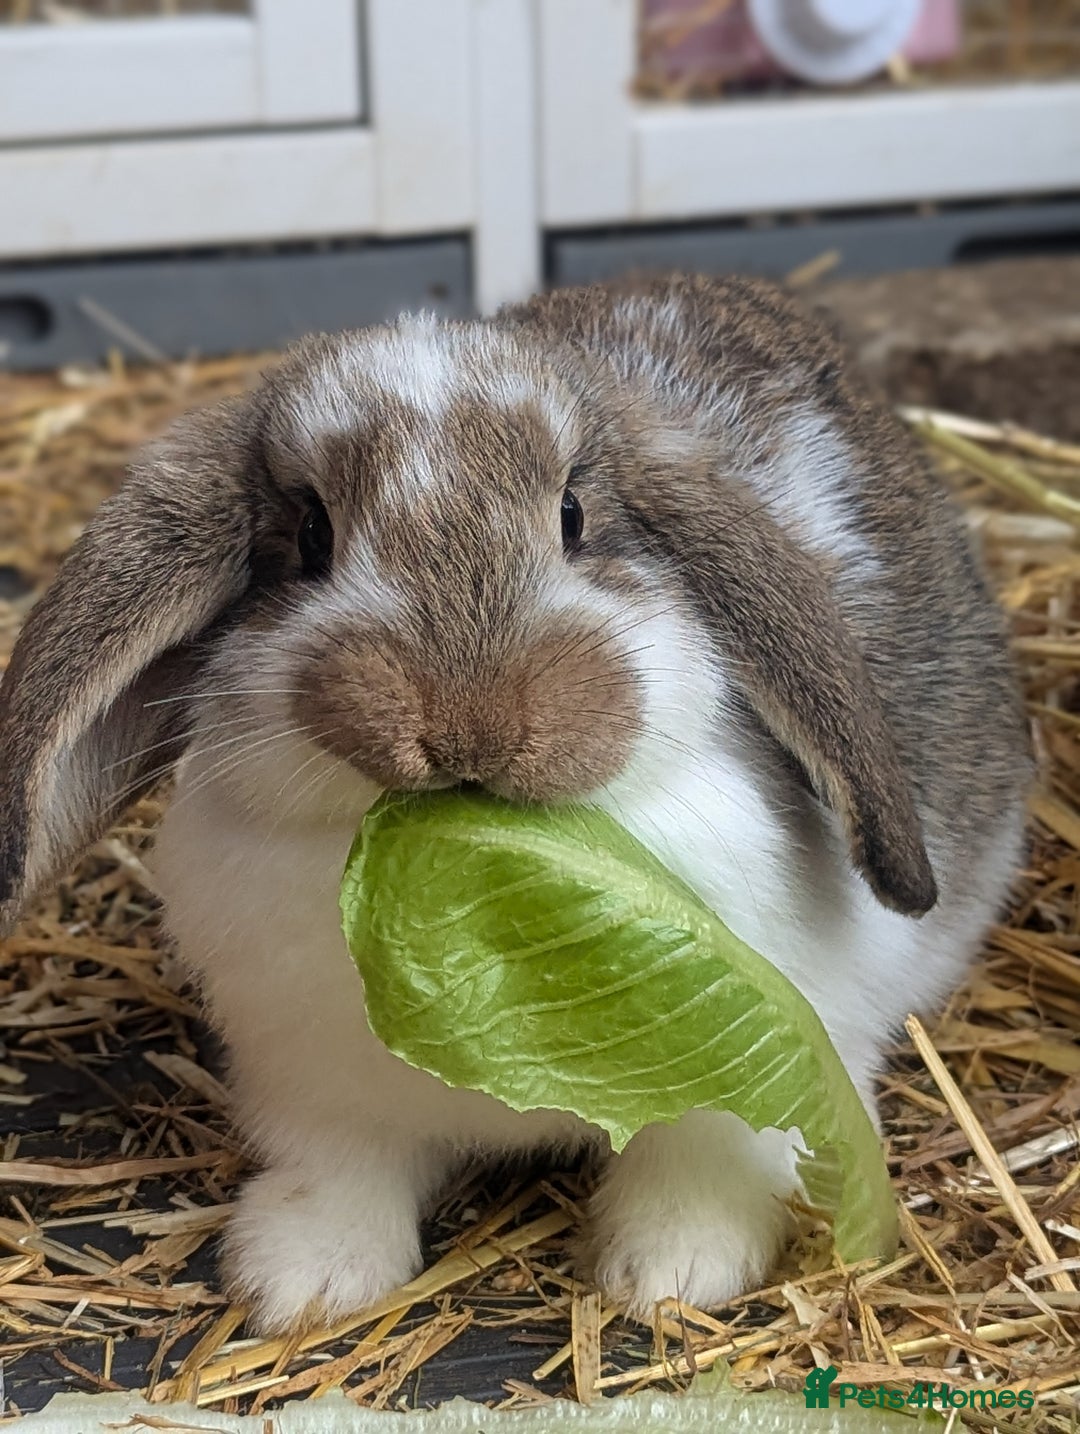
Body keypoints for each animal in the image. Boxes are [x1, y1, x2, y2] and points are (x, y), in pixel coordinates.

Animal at [0, 274, 1030, 1334]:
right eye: (312, 536)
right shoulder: (314, 1088)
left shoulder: (752, 1080)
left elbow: (703, 1163)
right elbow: (342, 1169)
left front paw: (671, 1272)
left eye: (573, 514)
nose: (468, 723)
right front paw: (302, 1279)